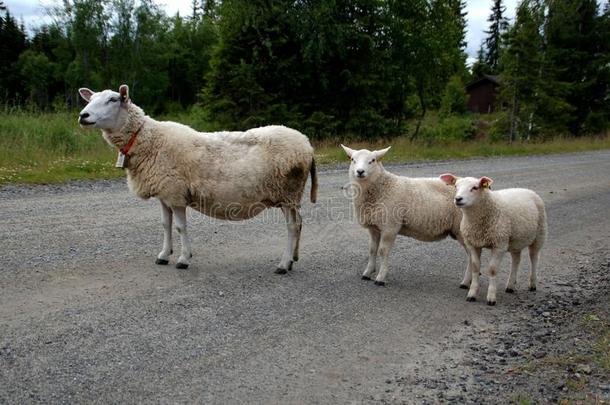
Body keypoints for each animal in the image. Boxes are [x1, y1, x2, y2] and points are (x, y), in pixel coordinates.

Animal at [78, 84, 316, 272]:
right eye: (90, 99)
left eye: (113, 99)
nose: (83, 116)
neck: (148, 140)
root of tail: (307, 144)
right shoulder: (164, 193)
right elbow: (165, 225)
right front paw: (163, 255)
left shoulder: (175, 193)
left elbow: (180, 227)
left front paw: (183, 259)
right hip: (289, 195)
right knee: (299, 225)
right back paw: (292, 260)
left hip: (289, 191)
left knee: (292, 227)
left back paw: (283, 264)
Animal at [340, 144, 468, 286]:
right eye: (352, 159)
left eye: (372, 160)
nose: (360, 171)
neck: (381, 188)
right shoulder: (374, 228)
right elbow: (372, 250)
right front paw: (368, 272)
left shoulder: (390, 227)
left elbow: (383, 251)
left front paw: (380, 277)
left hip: (463, 228)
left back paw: (466, 282)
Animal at [436, 172, 548, 304]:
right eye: (456, 186)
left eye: (475, 187)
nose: (458, 199)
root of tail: (526, 190)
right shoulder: (473, 243)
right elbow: (475, 267)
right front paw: (471, 294)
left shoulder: (499, 244)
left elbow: (493, 270)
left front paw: (491, 297)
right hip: (515, 239)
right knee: (516, 259)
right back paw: (510, 286)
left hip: (539, 234)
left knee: (534, 258)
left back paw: (532, 284)